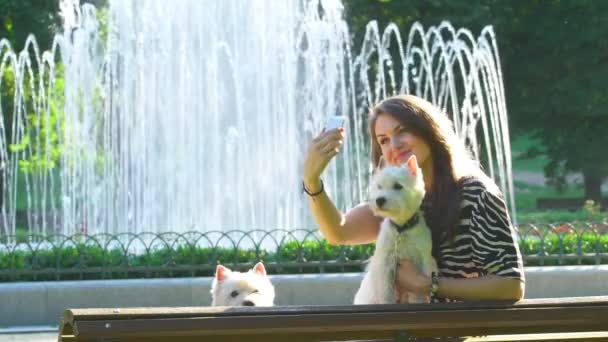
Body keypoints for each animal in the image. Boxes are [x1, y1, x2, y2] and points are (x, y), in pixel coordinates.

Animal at [352, 156, 436, 304]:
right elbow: (386, 290)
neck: (401, 229)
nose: (379, 200)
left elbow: (419, 291)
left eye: (398, 186)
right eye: (379, 186)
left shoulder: (424, 258)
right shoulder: (385, 262)